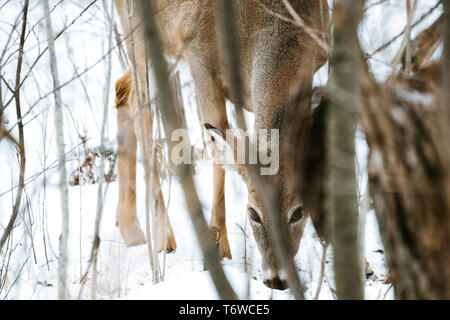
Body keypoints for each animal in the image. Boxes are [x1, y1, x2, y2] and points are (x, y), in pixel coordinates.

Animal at [114, 0, 328, 290]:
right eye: (253, 213)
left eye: (298, 212)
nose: (276, 278)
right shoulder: (199, 58)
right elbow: (217, 140)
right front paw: (221, 247)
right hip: (138, 29)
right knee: (141, 108)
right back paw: (163, 237)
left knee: (121, 90)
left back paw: (130, 227)